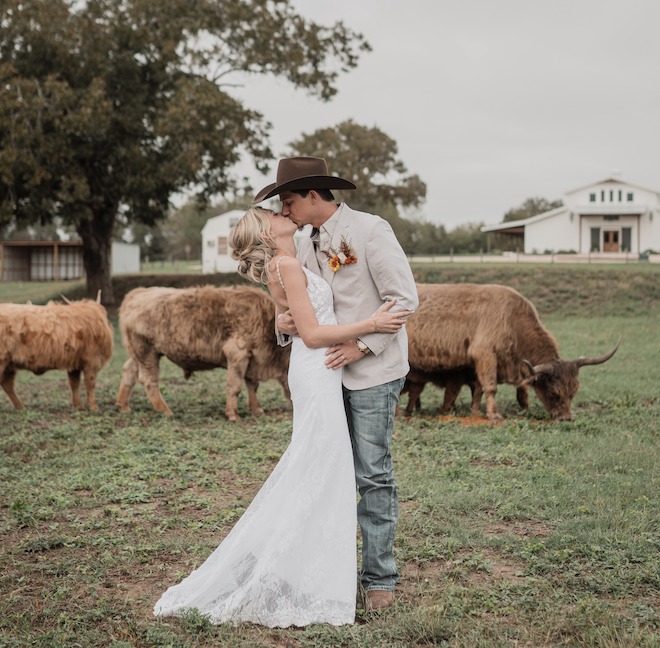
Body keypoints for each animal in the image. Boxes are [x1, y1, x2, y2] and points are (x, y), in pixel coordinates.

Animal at [116, 284, 292, 420]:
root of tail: (137, 293)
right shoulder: (238, 354)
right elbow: (235, 386)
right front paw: (233, 414)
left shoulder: (252, 360)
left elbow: (252, 386)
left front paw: (257, 410)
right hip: (147, 354)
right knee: (148, 381)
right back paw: (166, 411)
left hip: (138, 355)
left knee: (128, 371)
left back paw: (123, 406)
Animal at [408, 284, 620, 420]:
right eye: (554, 393)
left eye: (573, 392)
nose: (566, 418)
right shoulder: (485, 354)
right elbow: (490, 386)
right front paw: (493, 414)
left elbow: (484, 388)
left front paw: (478, 411)